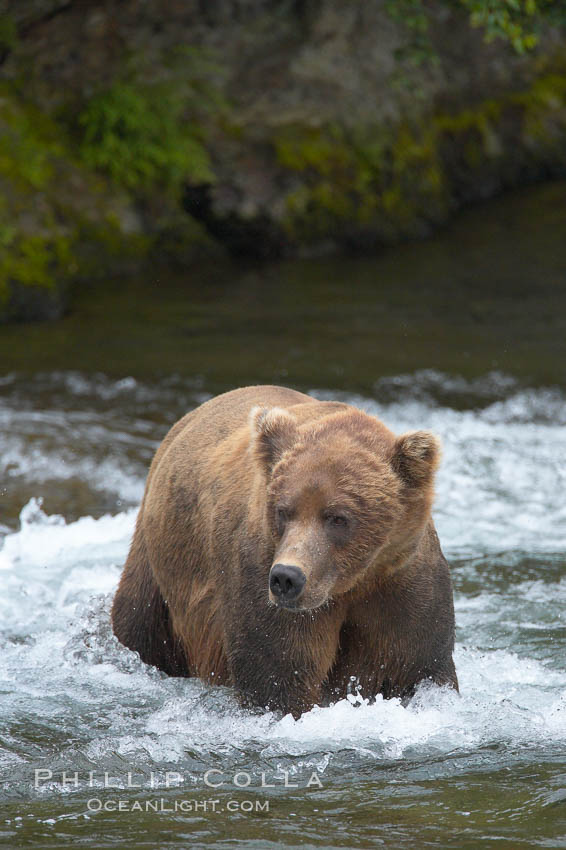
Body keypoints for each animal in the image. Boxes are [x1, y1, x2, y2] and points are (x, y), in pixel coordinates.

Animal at [112, 384, 462, 716]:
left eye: (338, 517)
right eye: (283, 510)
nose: (287, 578)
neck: (350, 585)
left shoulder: (402, 586)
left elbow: (418, 666)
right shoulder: (260, 577)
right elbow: (279, 676)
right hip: (160, 568)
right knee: (138, 621)